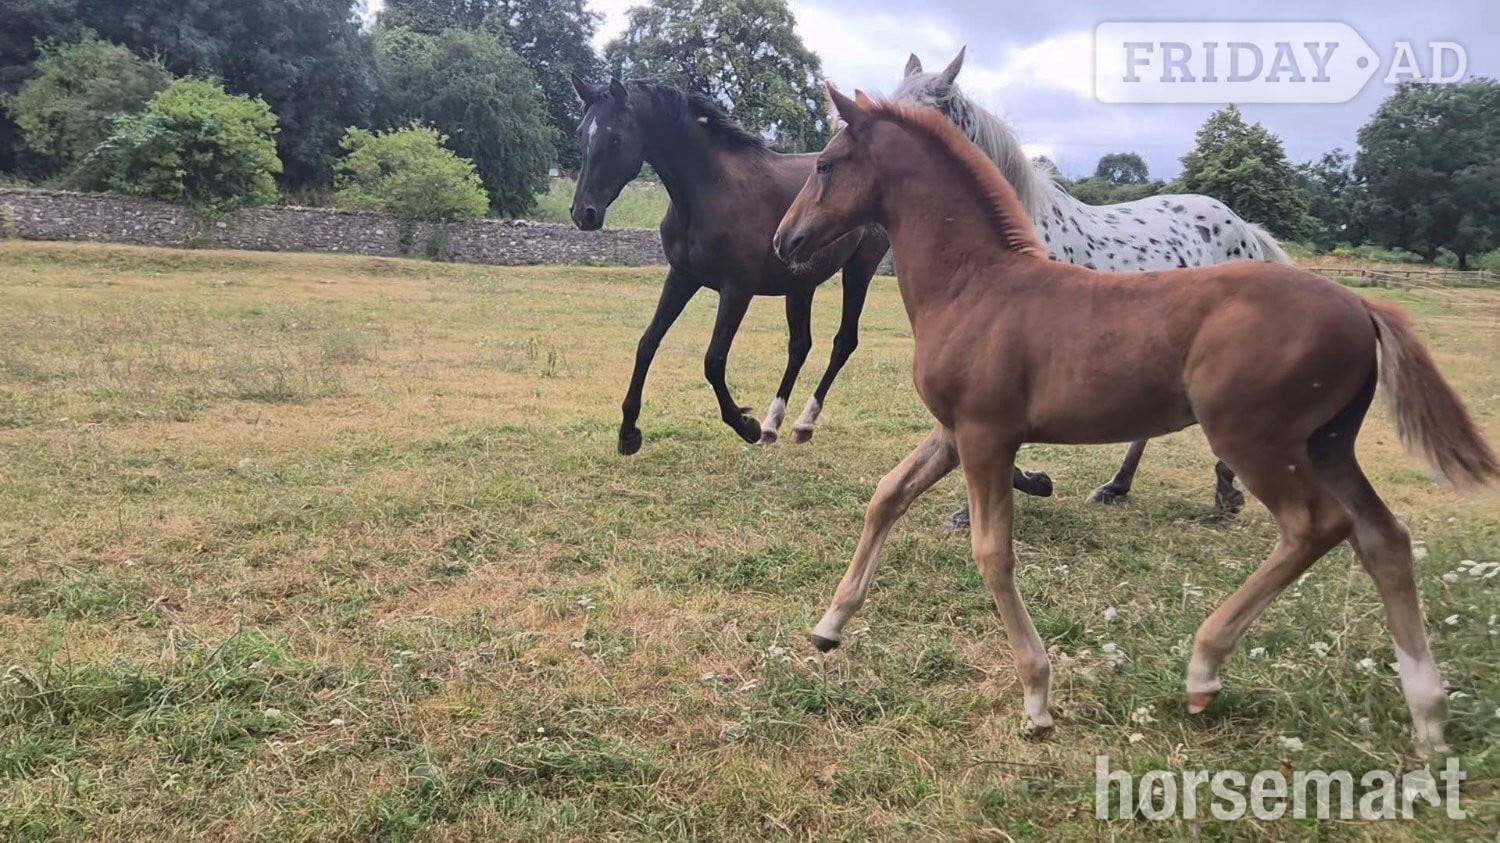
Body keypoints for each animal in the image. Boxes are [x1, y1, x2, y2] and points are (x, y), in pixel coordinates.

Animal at [568, 75, 889, 454]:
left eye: (615, 137)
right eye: (580, 133)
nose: (584, 213)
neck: (711, 189)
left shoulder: (737, 290)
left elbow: (713, 361)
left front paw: (744, 424)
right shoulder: (682, 277)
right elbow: (648, 342)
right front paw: (629, 432)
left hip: (860, 269)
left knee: (843, 343)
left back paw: (802, 423)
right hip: (800, 284)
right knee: (799, 346)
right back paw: (772, 424)